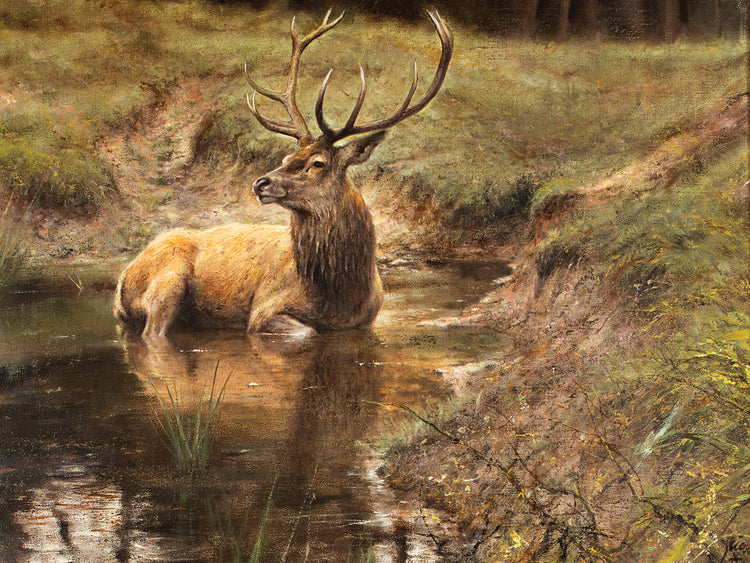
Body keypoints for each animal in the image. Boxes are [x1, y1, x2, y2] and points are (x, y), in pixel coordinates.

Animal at [113, 10, 453, 339]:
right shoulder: (263, 310)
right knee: (153, 333)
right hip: (167, 281)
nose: (261, 182)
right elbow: (307, 332)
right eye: (287, 157)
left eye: (318, 162)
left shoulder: (367, 321)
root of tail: (122, 279)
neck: (341, 296)